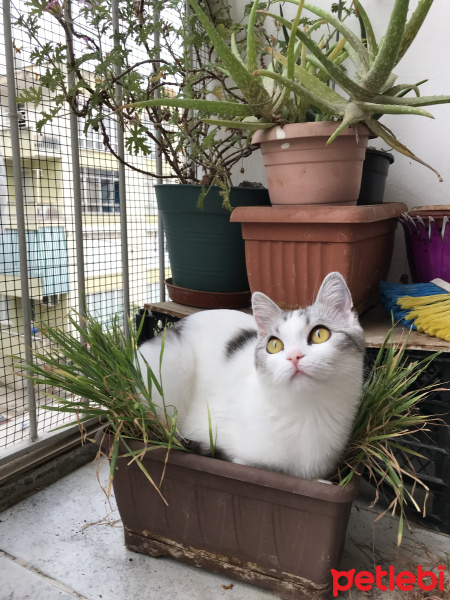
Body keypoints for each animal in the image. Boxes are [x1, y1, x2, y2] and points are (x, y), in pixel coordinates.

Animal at [138, 274, 366, 480]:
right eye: (274, 345)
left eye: (320, 334)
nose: (294, 356)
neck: (309, 409)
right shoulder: (238, 455)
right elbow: (258, 466)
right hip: (173, 361)